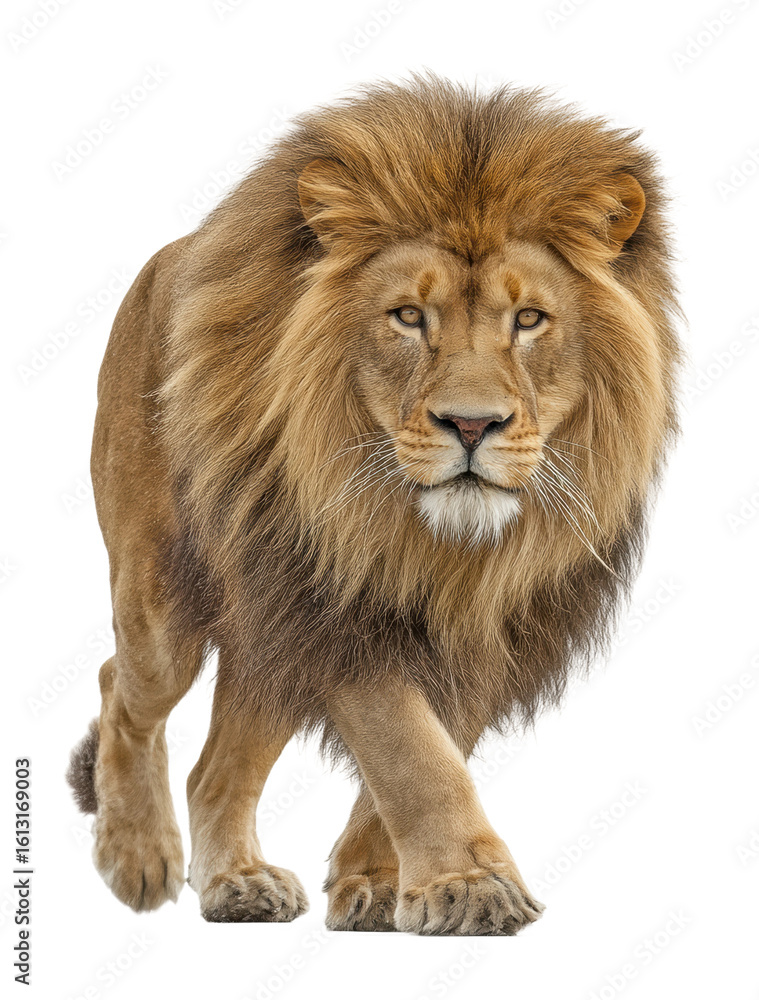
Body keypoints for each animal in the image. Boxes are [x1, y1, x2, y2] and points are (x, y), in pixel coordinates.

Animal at [67, 74, 681, 935]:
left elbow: (433, 746)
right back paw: (137, 854)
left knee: (214, 770)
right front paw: (468, 885)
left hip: (262, 631)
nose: (471, 425)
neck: (446, 549)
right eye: (407, 316)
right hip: (164, 597)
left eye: (528, 319)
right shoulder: (334, 602)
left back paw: (235, 881)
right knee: (121, 686)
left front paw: (379, 886)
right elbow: (411, 751)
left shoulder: (491, 634)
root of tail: (164, 260)